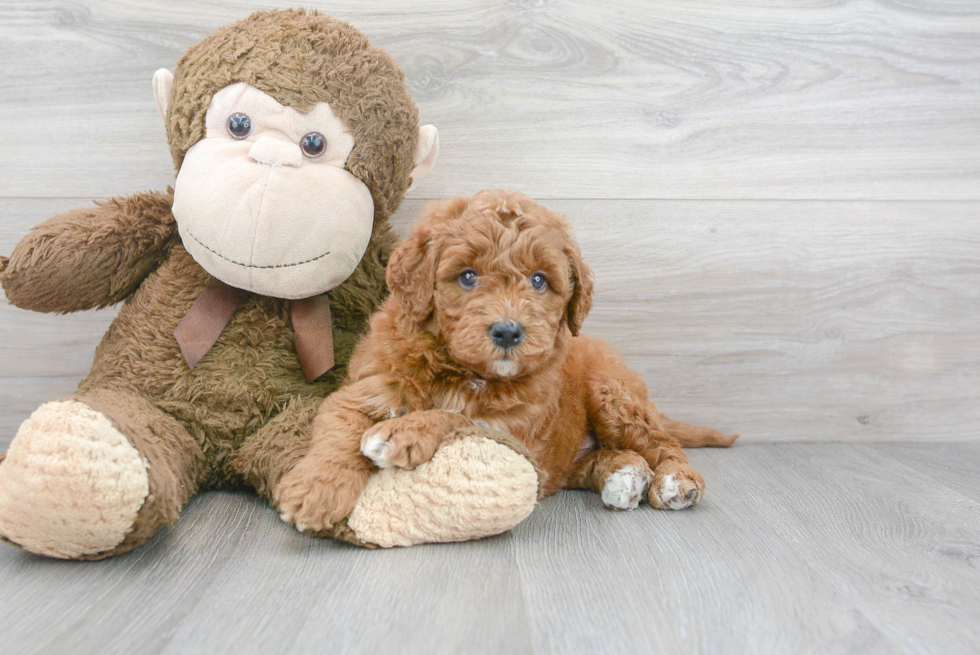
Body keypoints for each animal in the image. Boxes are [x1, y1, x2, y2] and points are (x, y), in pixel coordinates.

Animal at [276, 188, 736, 532]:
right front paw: (314, 492)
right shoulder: (370, 387)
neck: (461, 372)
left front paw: (402, 433)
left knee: (662, 442)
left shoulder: (514, 434)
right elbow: (340, 431)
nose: (508, 332)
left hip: (613, 396)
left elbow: (456, 418)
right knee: (602, 458)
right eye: (467, 276)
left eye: (539, 280)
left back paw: (677, 481)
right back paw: (624, 477)